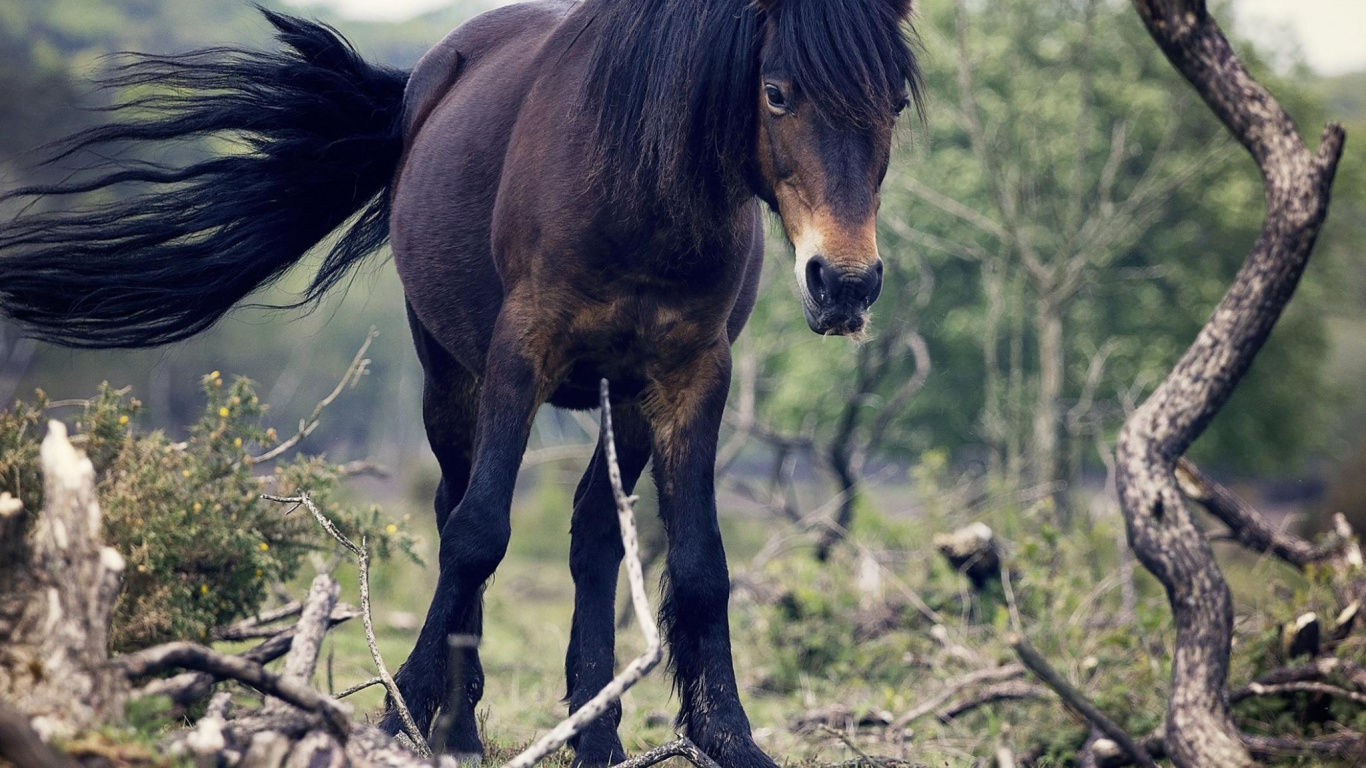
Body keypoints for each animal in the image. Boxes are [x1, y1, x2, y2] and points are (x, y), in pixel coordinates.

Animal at [0, 1, 921, 765]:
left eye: (897, 105)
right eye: (777, 92)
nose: (845, 284)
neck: (641, 190)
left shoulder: (691, 376)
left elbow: (698, 564)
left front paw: (728, 737)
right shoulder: (521, 354)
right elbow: (478, 533)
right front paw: (399, 713)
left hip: (619, 400)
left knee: (592, 534)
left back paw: (595, 734)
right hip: (451, 372)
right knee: (457, 506)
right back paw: (460, 727)